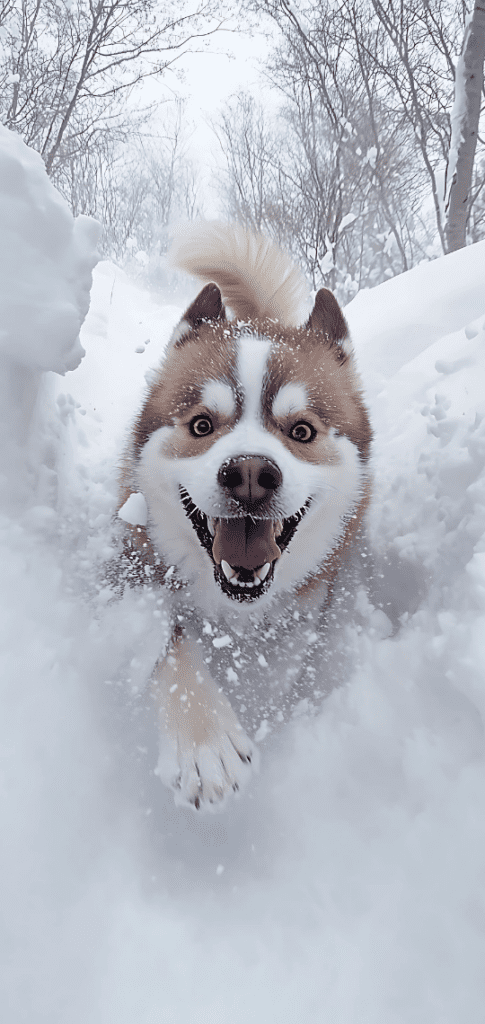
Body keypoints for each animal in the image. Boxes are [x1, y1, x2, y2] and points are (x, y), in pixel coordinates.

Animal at [117, 222, 370, 806]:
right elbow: (170, 641)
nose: (251, 474)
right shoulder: (130, 571)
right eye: (202, 425)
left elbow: (277, 671)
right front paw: (204, 741)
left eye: (302, 430)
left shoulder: (304, 609)